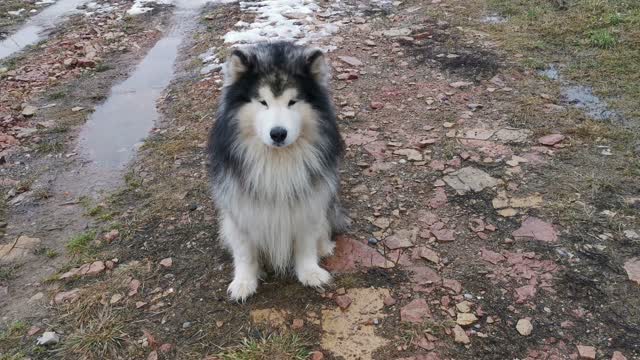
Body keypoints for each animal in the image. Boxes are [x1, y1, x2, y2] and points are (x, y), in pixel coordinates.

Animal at [209, 41, 350, 300]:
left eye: (292, 102)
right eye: (262, 102)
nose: (278, 133)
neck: (277, 160)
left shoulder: (309, 202)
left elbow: (306, 241)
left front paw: (309, 272)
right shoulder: (240, 206)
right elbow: (244, 250)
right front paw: (244, 282)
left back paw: (323, 246)